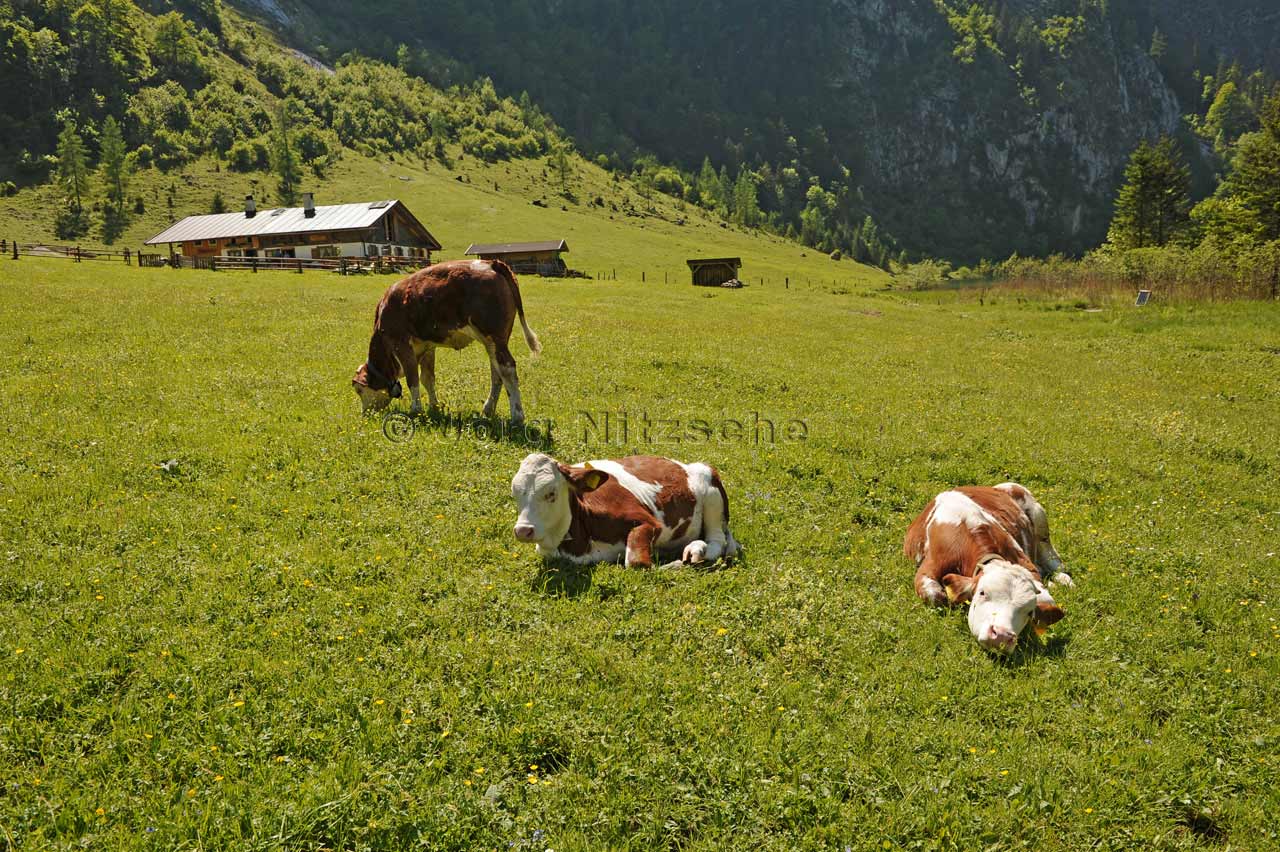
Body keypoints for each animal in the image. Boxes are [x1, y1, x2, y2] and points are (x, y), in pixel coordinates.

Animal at [353, 257, 542, 419]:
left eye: (359, 390)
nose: (365, 414)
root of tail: (491, 263)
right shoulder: (427, 346)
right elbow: (427, 379)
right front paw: (434, 407)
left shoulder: (401, 343)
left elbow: (412, 379)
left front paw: (415, 410)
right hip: (493, 343)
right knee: (497, 372)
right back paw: (488, 410)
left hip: (494, 336)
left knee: (507, 370)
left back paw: (517, 416)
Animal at [509, 455, 742, 568]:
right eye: (515, 493)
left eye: (551, 493)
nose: (523, 531)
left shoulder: (648, 521)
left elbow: (636, 562)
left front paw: (675, 563)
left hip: (711, 496)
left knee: (717, 541)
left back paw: (697, 549)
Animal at [906, 481, 1075, 652]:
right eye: (982, 593)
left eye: (1029, 612)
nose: (1001, 636)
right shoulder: (930, 566)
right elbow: (936, 596)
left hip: (1039, 520)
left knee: (1054, 560)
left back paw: (1064, 581)